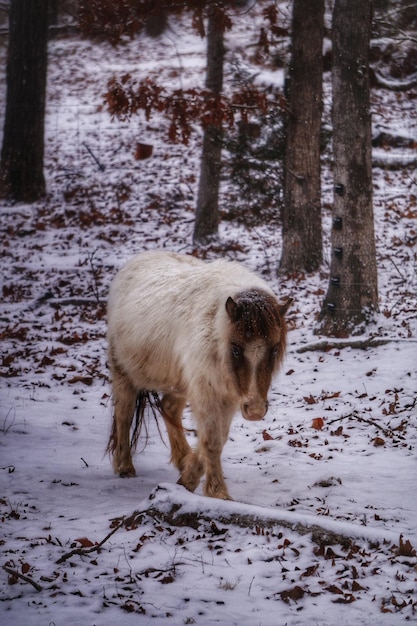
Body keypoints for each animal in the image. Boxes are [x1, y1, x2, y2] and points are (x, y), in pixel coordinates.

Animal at [105, 249, 290, 498]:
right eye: (235, 348)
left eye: (274, 349)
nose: (255, 410)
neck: (216, 330)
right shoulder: (208, 393)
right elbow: (211, 441)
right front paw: (218, 492)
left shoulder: (228, 397)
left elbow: (217, 439)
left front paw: (188, 479)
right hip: (123, 372)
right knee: (124, 414)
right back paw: (125, 466)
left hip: (179, 383)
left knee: (169, 408)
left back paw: (182, 458)